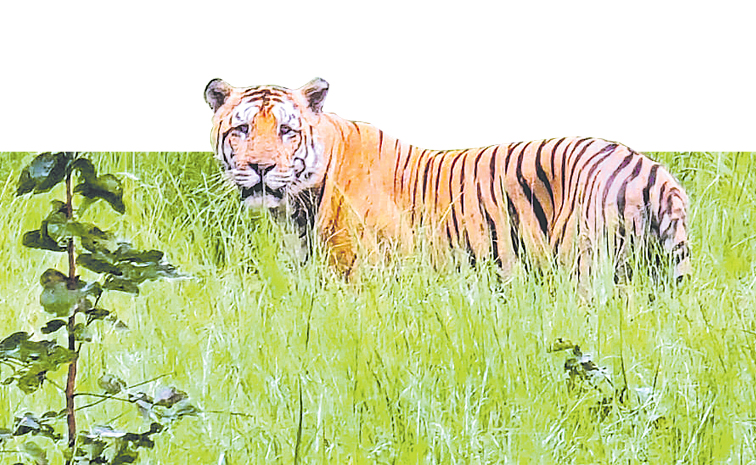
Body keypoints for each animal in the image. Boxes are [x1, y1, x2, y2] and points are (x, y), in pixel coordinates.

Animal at [204, 77, 691, 282]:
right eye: (241, 129)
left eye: (287, 131)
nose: (261, 167)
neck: (297, 208)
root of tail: (650, 169)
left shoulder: (361, 282)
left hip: (588, 268)